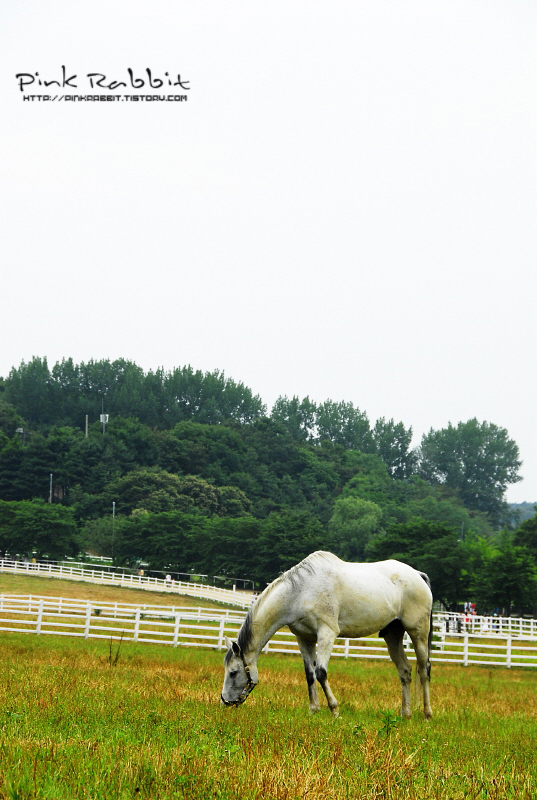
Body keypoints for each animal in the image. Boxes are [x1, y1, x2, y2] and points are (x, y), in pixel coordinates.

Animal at [220, 552, 434, 720]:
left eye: (233, 672)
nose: (225, 701)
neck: (301, 592)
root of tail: (418, 575)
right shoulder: (304, 638)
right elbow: (310, 674)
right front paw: (313, 710)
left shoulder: (327, 633)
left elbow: (321, 672)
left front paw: (334, 710)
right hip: (393, 635)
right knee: (405, 670)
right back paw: (405, 714)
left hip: (418, 632)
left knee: (424, 670)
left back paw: (427, 714)